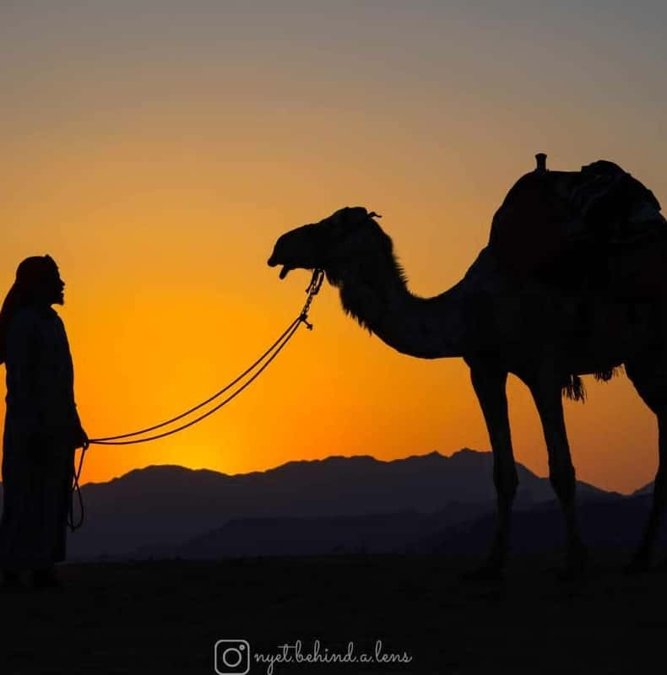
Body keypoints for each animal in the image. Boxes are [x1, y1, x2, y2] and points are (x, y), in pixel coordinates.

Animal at [267, 155, 667, 578]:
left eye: (333, 223)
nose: (280, 246)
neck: (470, 309)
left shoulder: (544, 368)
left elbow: (562, 469)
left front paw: (575, 561)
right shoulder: (485, 369)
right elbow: (503, 473)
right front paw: (492, 563)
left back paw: (640, 557)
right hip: (643, 361)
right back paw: (640, 557)